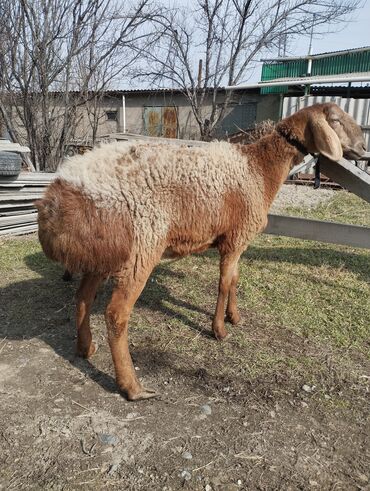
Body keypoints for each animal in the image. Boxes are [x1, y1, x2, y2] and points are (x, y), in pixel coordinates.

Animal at [36, 103, 366, 400]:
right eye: (335, 119)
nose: (363, 147)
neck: (259, 169)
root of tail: (57, 195)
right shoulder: (235, 240)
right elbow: (223, 283)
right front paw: (219, 330)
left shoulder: (237, 241)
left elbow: (234, 280)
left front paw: (235, 317)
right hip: (141, 247)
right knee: (116, 314)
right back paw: (133, 388)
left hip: (105, 254)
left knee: (82, 298)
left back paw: (86, 348)